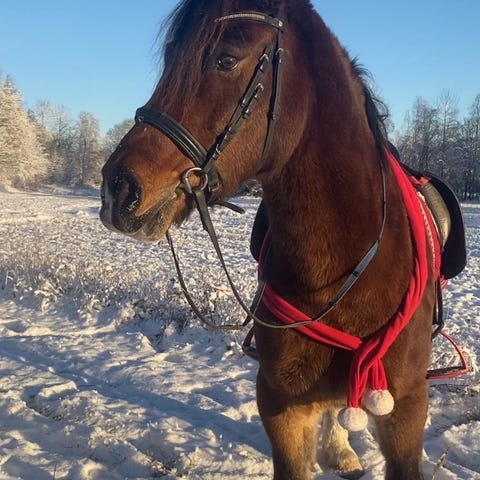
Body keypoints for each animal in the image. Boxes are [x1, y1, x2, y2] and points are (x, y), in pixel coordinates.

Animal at [100, 1, 443, 478]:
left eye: (226, 59)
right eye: (169, 58)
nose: (118, 189)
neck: (340, 272)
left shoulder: (406, 409)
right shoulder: (281, 404)